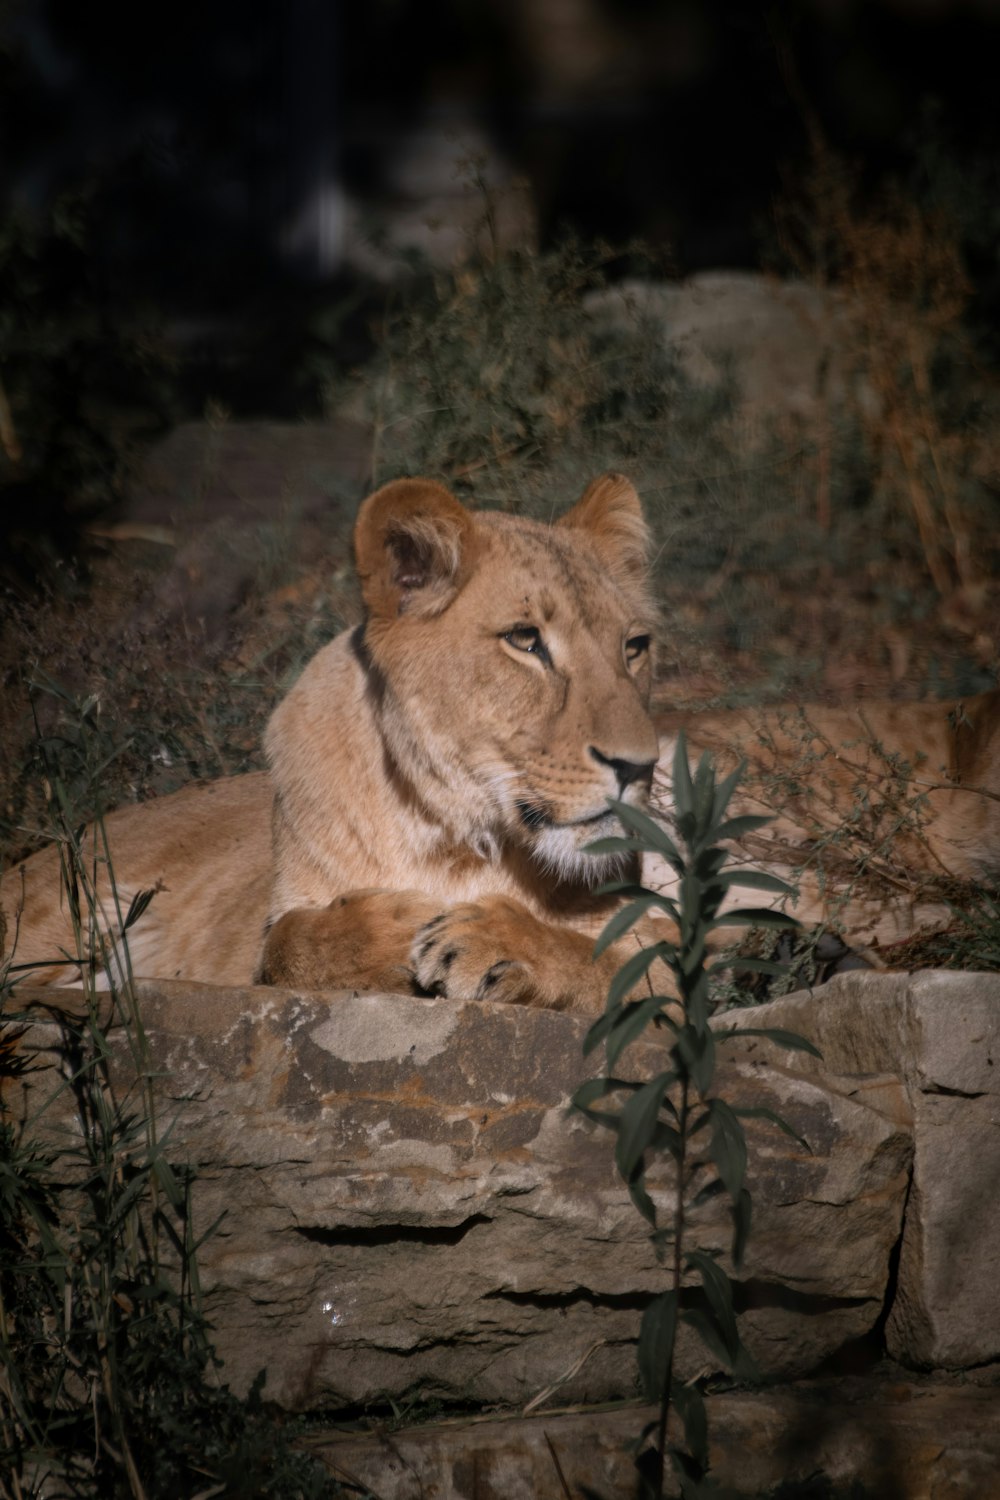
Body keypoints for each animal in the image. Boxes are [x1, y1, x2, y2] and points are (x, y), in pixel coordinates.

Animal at [1, 474, 1000, 1008]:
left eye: (633, 647)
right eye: (526, 641)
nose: (641, 767)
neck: (454, 829)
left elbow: (619, 950)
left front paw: (489, 943)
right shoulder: (288, 915)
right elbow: (286, 940)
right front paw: (394, 927)